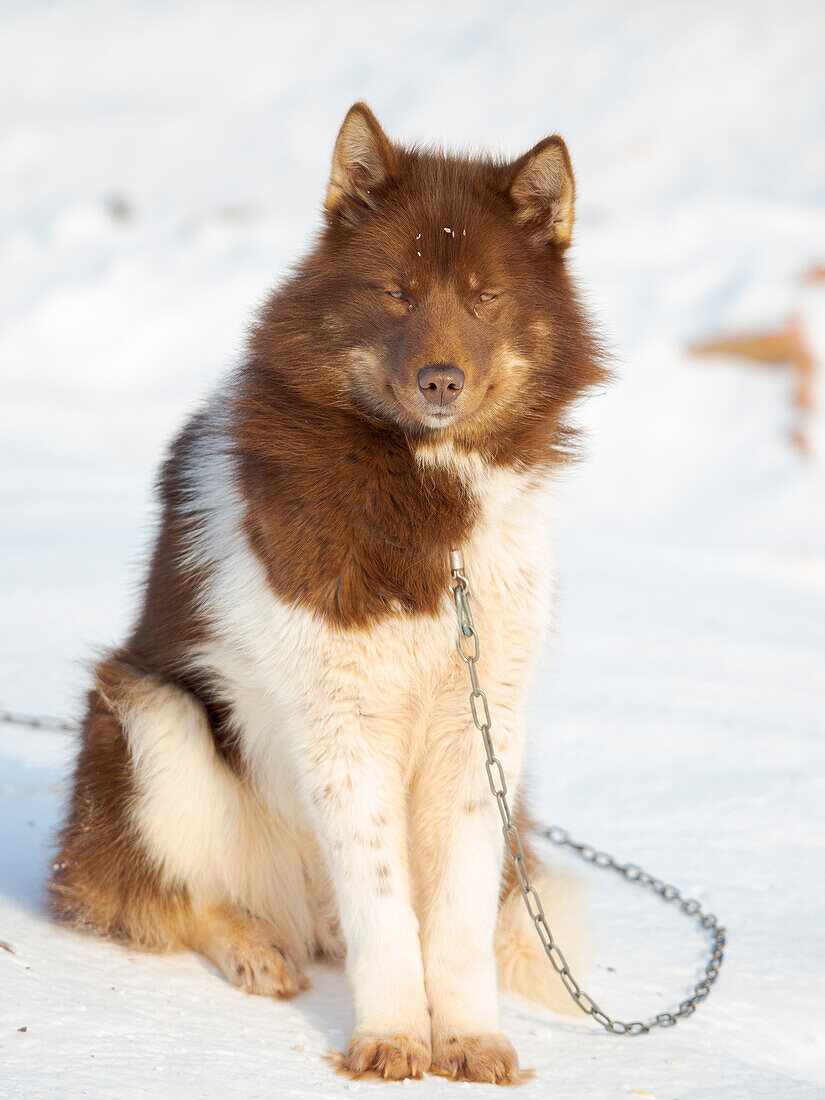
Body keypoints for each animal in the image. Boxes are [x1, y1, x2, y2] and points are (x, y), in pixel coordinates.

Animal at [51, 103, 607, 1082]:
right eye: (396, 292)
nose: (439, 381)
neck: (426, 503)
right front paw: (391, 1038)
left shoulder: (478, 731)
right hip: (150, 716)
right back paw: (252, 948)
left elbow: (457, 919)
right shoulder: (341, 726)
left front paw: (469, 1039)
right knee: (165, 896)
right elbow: (383, 906)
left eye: (483, 297)